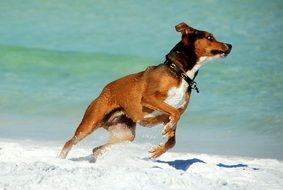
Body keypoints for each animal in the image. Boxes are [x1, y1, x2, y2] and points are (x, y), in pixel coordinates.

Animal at [58, 21, 232, 159]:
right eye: (210, 37)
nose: (230, 45)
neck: (179, 73)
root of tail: (103, 90)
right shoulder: (149, 99)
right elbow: (173, 112)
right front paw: (167, 131)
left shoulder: (168, 114)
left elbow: (173, 138)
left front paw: (159, 149)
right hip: (90, 123)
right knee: (69, 141)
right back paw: (61, 159)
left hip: (125, 134)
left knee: (97, 148)